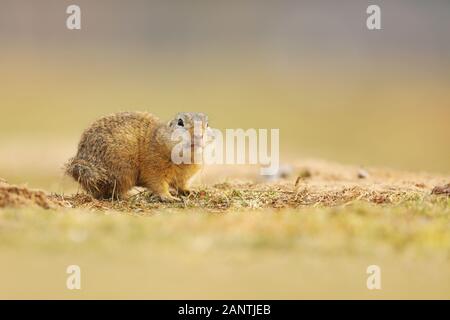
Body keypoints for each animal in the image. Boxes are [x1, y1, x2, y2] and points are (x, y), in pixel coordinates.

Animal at [66, 111, 210, 201]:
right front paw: (169, 197)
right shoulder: (154, 167)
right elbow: (158, 184)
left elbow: (181, 184)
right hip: (122, 171)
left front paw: (190, 191)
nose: (198, 135)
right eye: (180, 122)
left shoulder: (183, 176)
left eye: (207, 124)